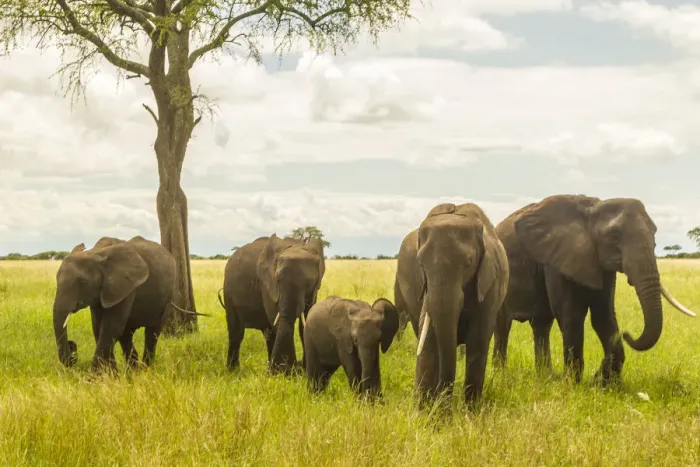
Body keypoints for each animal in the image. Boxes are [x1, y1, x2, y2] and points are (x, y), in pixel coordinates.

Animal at [53, 235, 207, 373]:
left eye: (82, 282)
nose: (72, 345)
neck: (96, 253)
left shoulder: (126, 288)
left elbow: (110, 328)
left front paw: (94, 379)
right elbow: (98, 327)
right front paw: (110, 376)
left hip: (168, 295)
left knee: (151, 333)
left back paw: (145, 370)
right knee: (127, 334)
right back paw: (133, 371)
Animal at [220, 234, 325, 375]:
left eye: (309, 282)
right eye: (278, 280)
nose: (296, 367)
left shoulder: (314, 290)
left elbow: (306, 321)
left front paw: (302, 372)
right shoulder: (267, 284)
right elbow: (276, 318)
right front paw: (287, 373)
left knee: (268, 334)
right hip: (228, 291)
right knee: (236, 332)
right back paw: (234, 372)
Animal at [394, 202, 509, 408]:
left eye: (469, 263)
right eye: (420, 263)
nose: (442, 404)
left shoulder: (490, 285)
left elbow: (477, 341)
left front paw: (470, 411)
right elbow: (429, 341)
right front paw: (424, 412)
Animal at [492, 195, 696, 384]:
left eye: (654, 233)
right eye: (614, 235)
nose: (628, 334)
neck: (592, 208)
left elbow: (603, 316)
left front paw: (602, 382)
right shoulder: (556, 260)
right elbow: (571, 314)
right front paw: (572, 384)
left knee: (541, 325)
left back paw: (545, 376)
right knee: (502, 325)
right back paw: (500, 374)